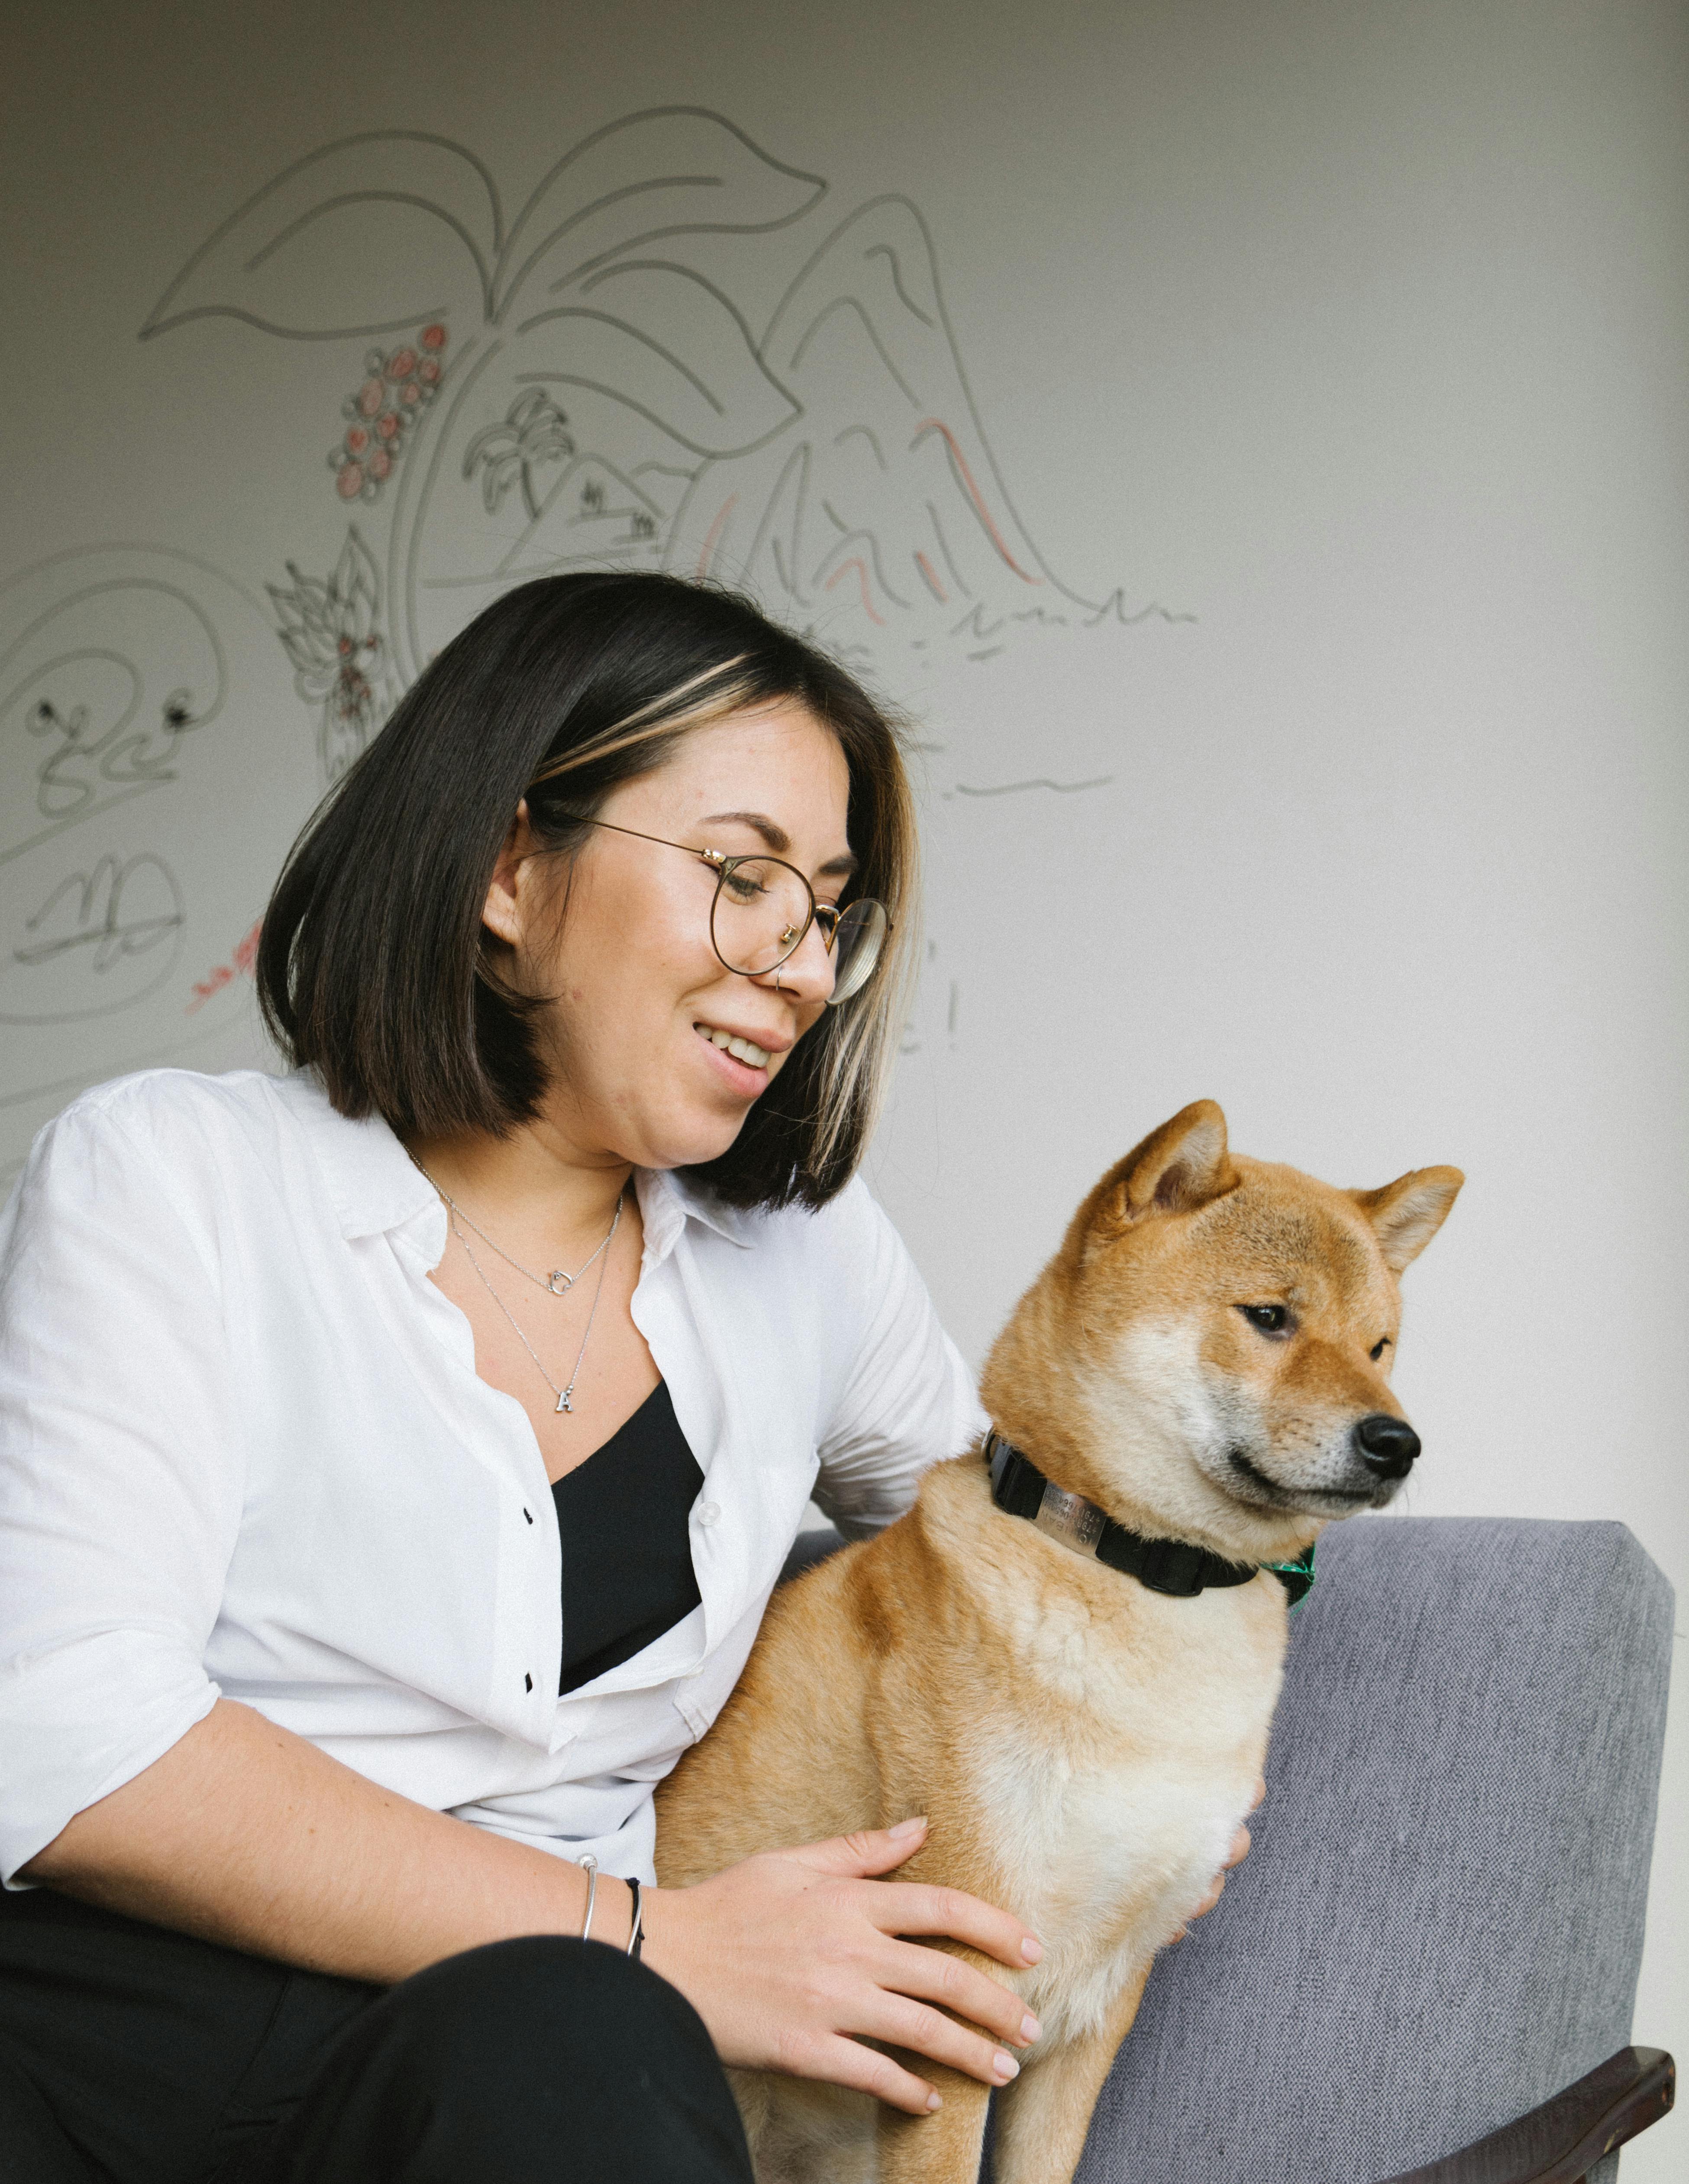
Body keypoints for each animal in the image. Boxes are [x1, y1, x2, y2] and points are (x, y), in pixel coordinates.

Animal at [651, 1109, 1460, 2184]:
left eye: (1379, 1346)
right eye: (1270, 1317)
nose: (1395, 1440)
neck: (1143, 1584)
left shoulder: (1095, 2008)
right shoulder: (953, 1999)